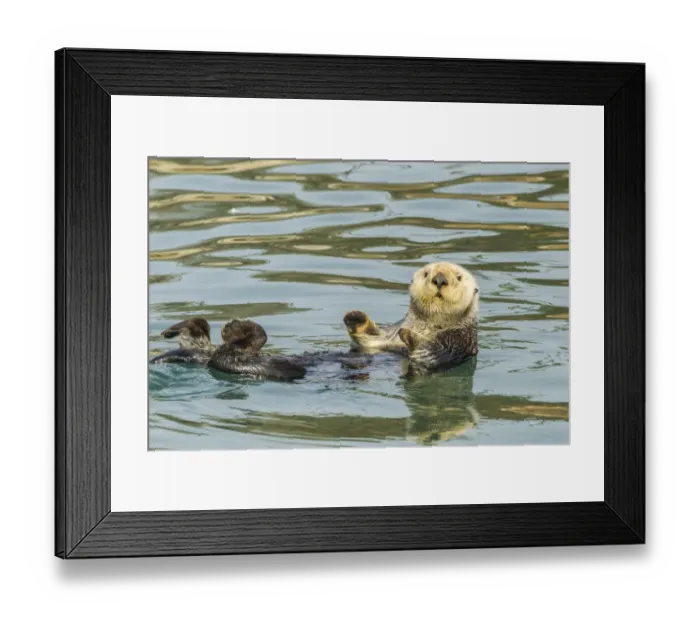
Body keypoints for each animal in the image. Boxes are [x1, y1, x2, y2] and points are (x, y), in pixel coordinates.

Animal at [343, 262, 479, 374]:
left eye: (459, 277)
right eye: (426, 274)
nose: (440, 279)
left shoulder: (459, 341)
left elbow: (432, 352)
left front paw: (410, 336)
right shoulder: (389, 336)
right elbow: (370, 339)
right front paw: (356, 318)